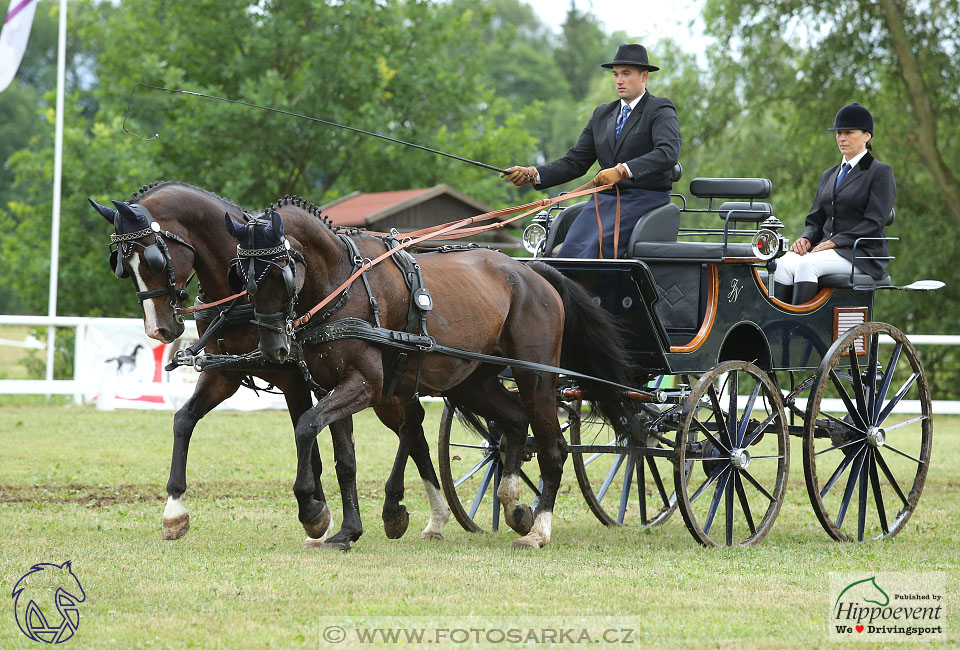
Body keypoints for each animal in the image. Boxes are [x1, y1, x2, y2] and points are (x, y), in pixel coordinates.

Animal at [88, 181, 448, 548]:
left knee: (411, 425)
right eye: (120, 264)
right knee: (413, 428)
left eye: (154, 260)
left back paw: (409, 510)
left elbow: (311, 447)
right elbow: (183, 421)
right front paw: (174, 510)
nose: (158, 329)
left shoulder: (294, 380)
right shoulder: (225, 374)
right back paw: (431, 516)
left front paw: (318, 518)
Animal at [231, 208, 636, 548]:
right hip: (472, 383)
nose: (273, 349)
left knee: (554, 448)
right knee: (515, 422)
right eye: (243, 277)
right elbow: (344, 459)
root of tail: (533, 272)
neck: (342, 283)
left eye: (278, 273)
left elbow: (306, 426)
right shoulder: (335, 387)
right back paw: (514, 507)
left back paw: (538, 530)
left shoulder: (364, 385)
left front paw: (313, 513)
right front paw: (346, 531)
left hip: (535, 377)